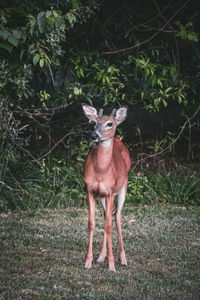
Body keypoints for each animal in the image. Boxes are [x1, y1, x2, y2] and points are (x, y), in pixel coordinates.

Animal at [82, 104, 130, 270]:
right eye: (94, 122)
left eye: (109, 123)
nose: (93, 135)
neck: (101, 171)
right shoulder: (89, 190)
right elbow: (91, 223)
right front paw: (88, 261)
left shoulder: (110, 192)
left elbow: (109, 226)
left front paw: (111, 265)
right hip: (102, 196)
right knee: (106, 217)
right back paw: (101, 256)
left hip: (123, 187)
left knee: (117, 216)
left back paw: (122, 258)